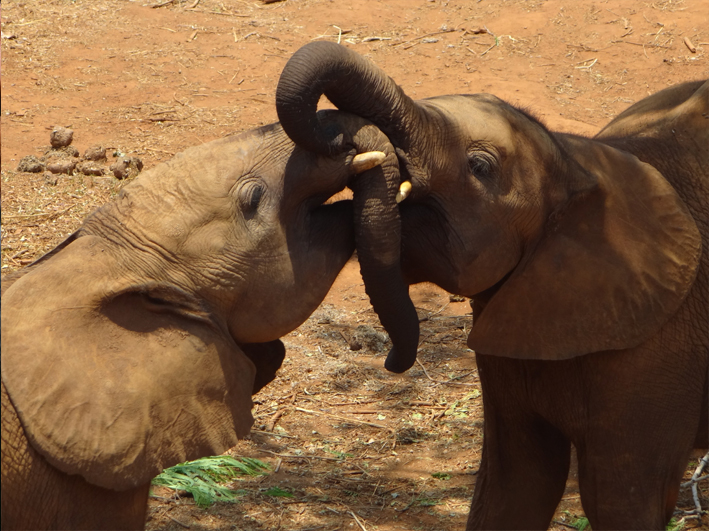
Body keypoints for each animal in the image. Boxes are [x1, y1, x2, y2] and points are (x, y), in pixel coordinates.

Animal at [276, 40, 708, 528]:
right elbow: (516, 483)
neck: (574, 163)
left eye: (480, 166)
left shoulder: (659, 344)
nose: (390, 360)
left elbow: (621, 498)